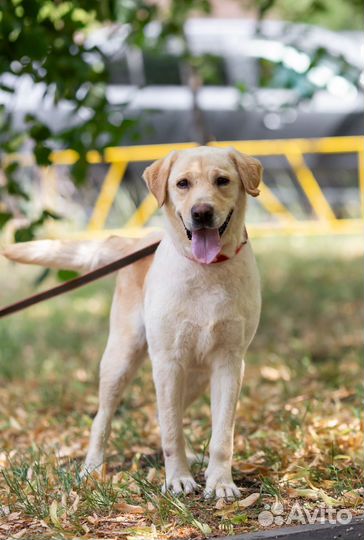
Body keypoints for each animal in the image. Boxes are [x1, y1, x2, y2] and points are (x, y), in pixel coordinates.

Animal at [4, 146, 262, 500]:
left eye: (222, 181)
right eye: (182, 183)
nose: (201, 213)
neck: (206, 270)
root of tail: (136, 242)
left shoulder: (230, 363)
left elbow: (222, 435)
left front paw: (220, 481)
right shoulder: (167, 363)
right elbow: (171, 432)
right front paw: (178, 479)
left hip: (196, 376)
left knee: (169, 414)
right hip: (121, 359)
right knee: (105, 419)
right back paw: (92, 467)